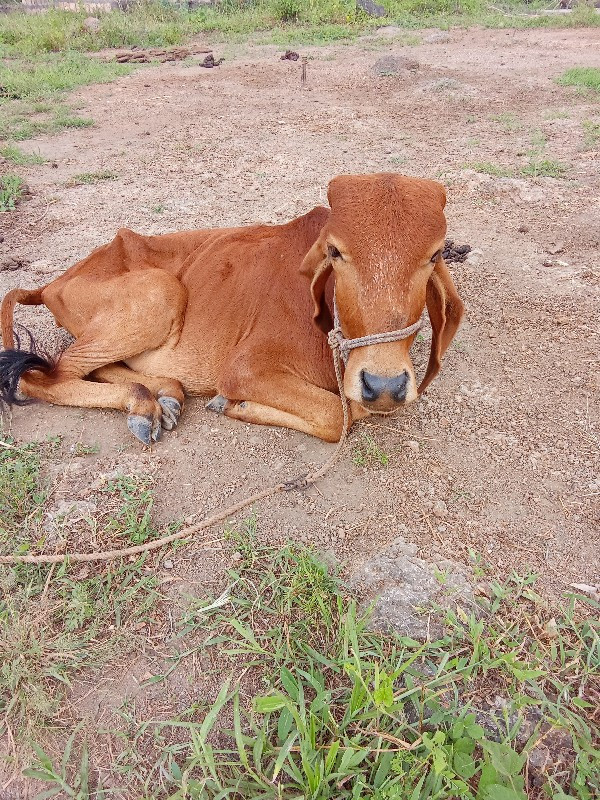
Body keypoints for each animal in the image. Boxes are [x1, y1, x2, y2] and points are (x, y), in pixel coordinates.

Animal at [0, 173, 464, 444]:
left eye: (434, 254)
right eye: (335, 252)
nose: (383, 386)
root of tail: (52, 283)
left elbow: (349, 411)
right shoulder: (244, 368)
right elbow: (339, 415)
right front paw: (233, 405)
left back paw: (161, 394)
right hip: (159, 292)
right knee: (46, 377)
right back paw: (145, 404)